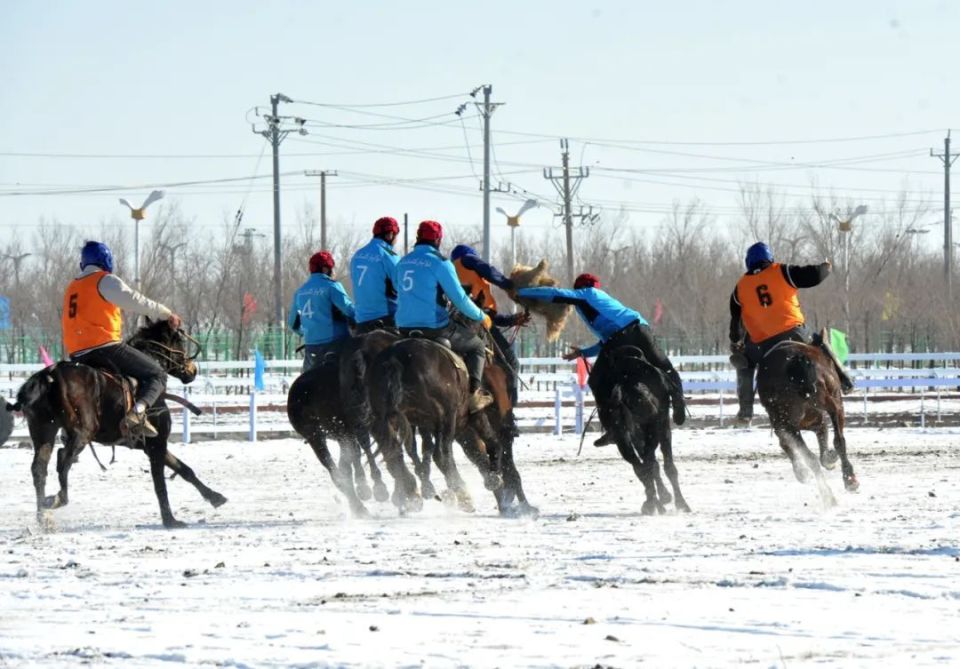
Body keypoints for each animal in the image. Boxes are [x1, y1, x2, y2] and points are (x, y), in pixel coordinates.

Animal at [5, 318, 225, 528]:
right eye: (178, 341)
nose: (192, 370)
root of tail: (49, 375)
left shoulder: (151, 445)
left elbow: (184, 469)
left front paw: (215, 497)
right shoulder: (157, 443)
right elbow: (160, 484)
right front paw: (170, 520)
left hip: (43, 432)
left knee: (39, 469)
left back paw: (43, 517)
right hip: (81, 433)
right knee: (63, 459)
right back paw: (58, 499)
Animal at [592, 348, 688, 516]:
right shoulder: (663, 429)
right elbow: (667, 466)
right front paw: (679, 502)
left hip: (623, 438)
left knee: (641, 467)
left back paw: (653, 503)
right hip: (653, 430)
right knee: (649, 464)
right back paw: (658, 503)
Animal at [752, 340, 860, 506]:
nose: (848, 384)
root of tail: (796, 360)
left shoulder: (811, 423)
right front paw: (830, 460)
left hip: (787, 425)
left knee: (811, 457)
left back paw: (827, 494)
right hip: (832, 404)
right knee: (838, 441)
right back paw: (847, 481)